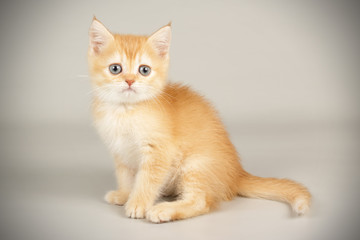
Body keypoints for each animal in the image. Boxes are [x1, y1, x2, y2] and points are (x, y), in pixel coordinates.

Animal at [88, 17, 312, 223]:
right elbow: (125, 176)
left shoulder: (159, 151)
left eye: (144, 70)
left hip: (196, 165)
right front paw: (124, 194)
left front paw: (137, 203)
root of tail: (237, 173)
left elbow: (147, 180)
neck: (125, 110)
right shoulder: (120, 151)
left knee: (201, 202)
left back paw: (165, 210)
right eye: (115, 68)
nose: (129, 81)